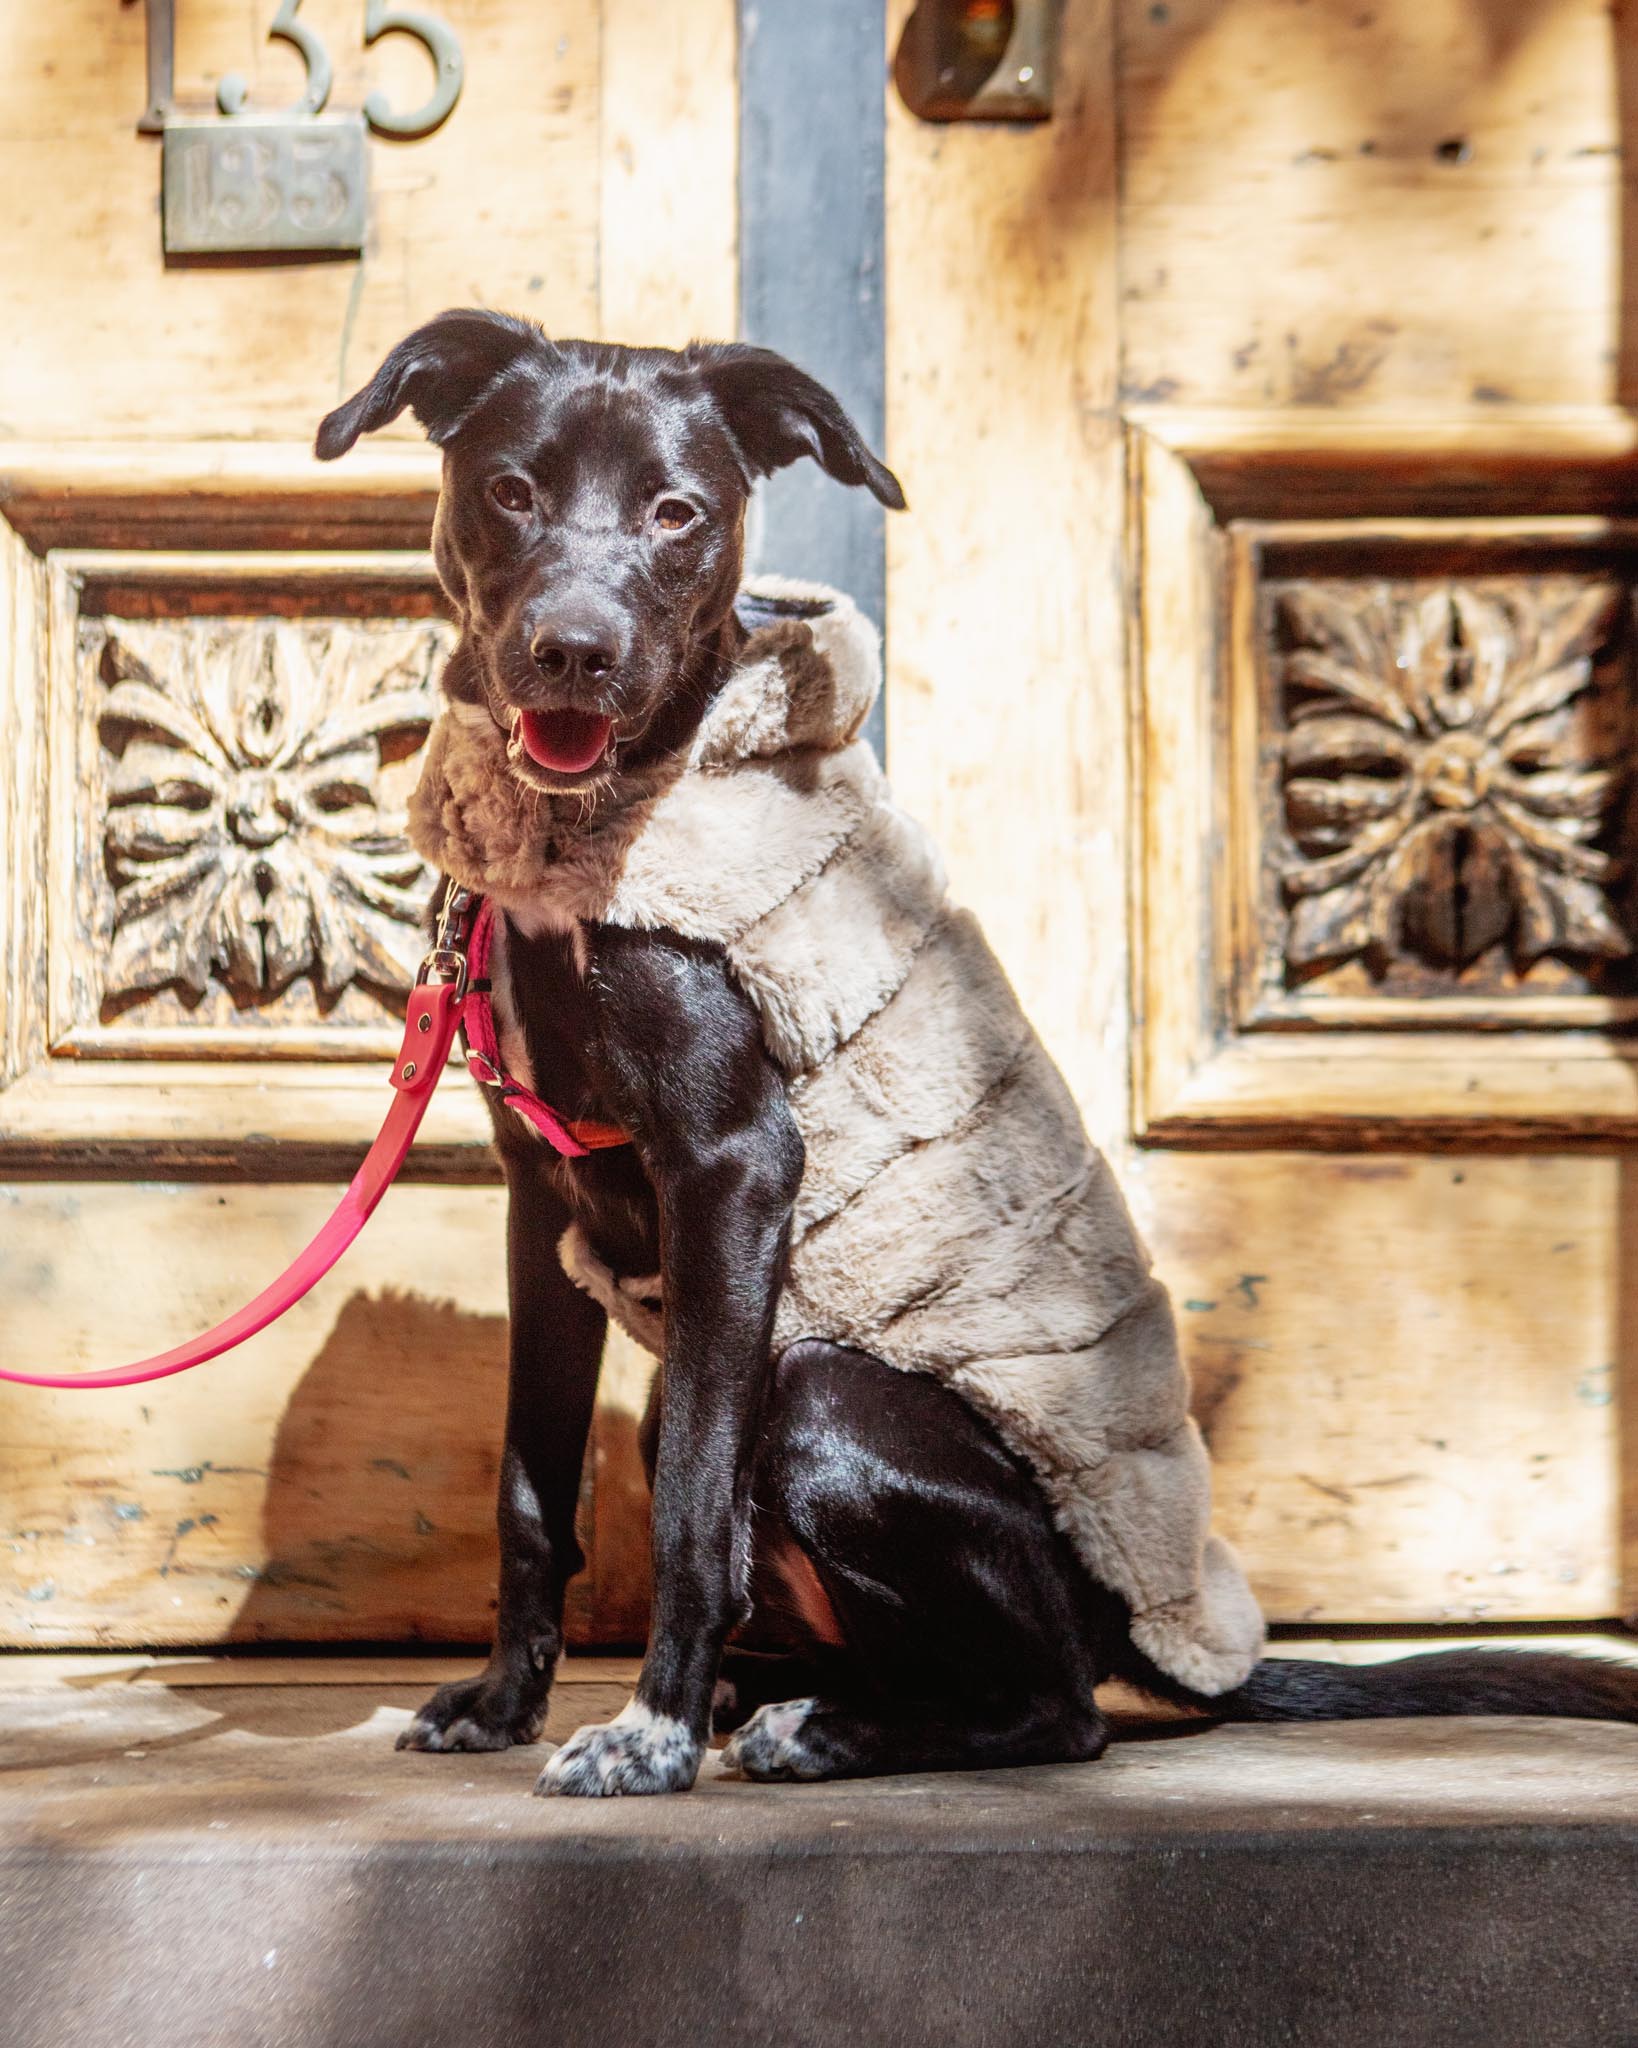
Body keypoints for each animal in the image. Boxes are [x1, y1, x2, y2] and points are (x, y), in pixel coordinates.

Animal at [317, 307, 1637, 1794]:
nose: (574, 651)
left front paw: (646, 1732)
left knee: (1056, 1705)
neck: (589, 846)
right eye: (510, 491)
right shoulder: (542, 1202)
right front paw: (503, 1701)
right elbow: (530, 1489)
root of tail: (1140, 1625)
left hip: (816, 1389)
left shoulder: (734, 1166)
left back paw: (808, 1727)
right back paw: (788, 1702)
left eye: (676, 512)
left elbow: (690, 1513)